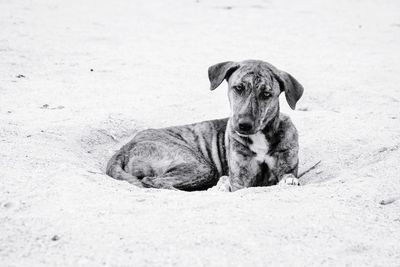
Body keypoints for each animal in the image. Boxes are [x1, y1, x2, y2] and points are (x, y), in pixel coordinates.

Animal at [105, 59, 304, 192]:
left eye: (266, 94)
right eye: (238, 88)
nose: (244, 125)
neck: (261, 137)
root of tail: (124, 148)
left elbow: (288, 176)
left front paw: (289, 181)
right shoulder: (241, 182)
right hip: (200, 166)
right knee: (153, 181)